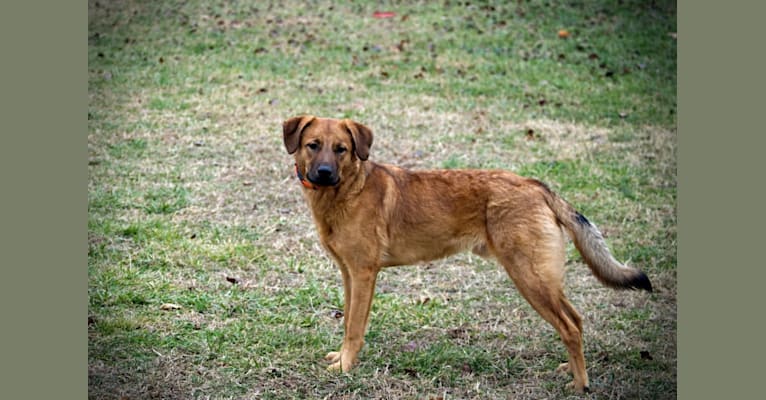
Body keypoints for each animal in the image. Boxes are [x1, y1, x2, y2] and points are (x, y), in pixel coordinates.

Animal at [284, 114, 656, 392]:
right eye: (313, 146)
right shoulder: (349, 274)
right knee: (576, 320)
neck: (346, 191)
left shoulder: (363, 274)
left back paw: (581, 385)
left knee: (570, 327)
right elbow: (349, 320)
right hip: (544, 278)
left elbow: (354, 328)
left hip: (530, 277)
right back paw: (570, 369)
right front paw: (341, 359)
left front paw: (346, 367)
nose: (324, 173)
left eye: (342, 149)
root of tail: (536, 186)